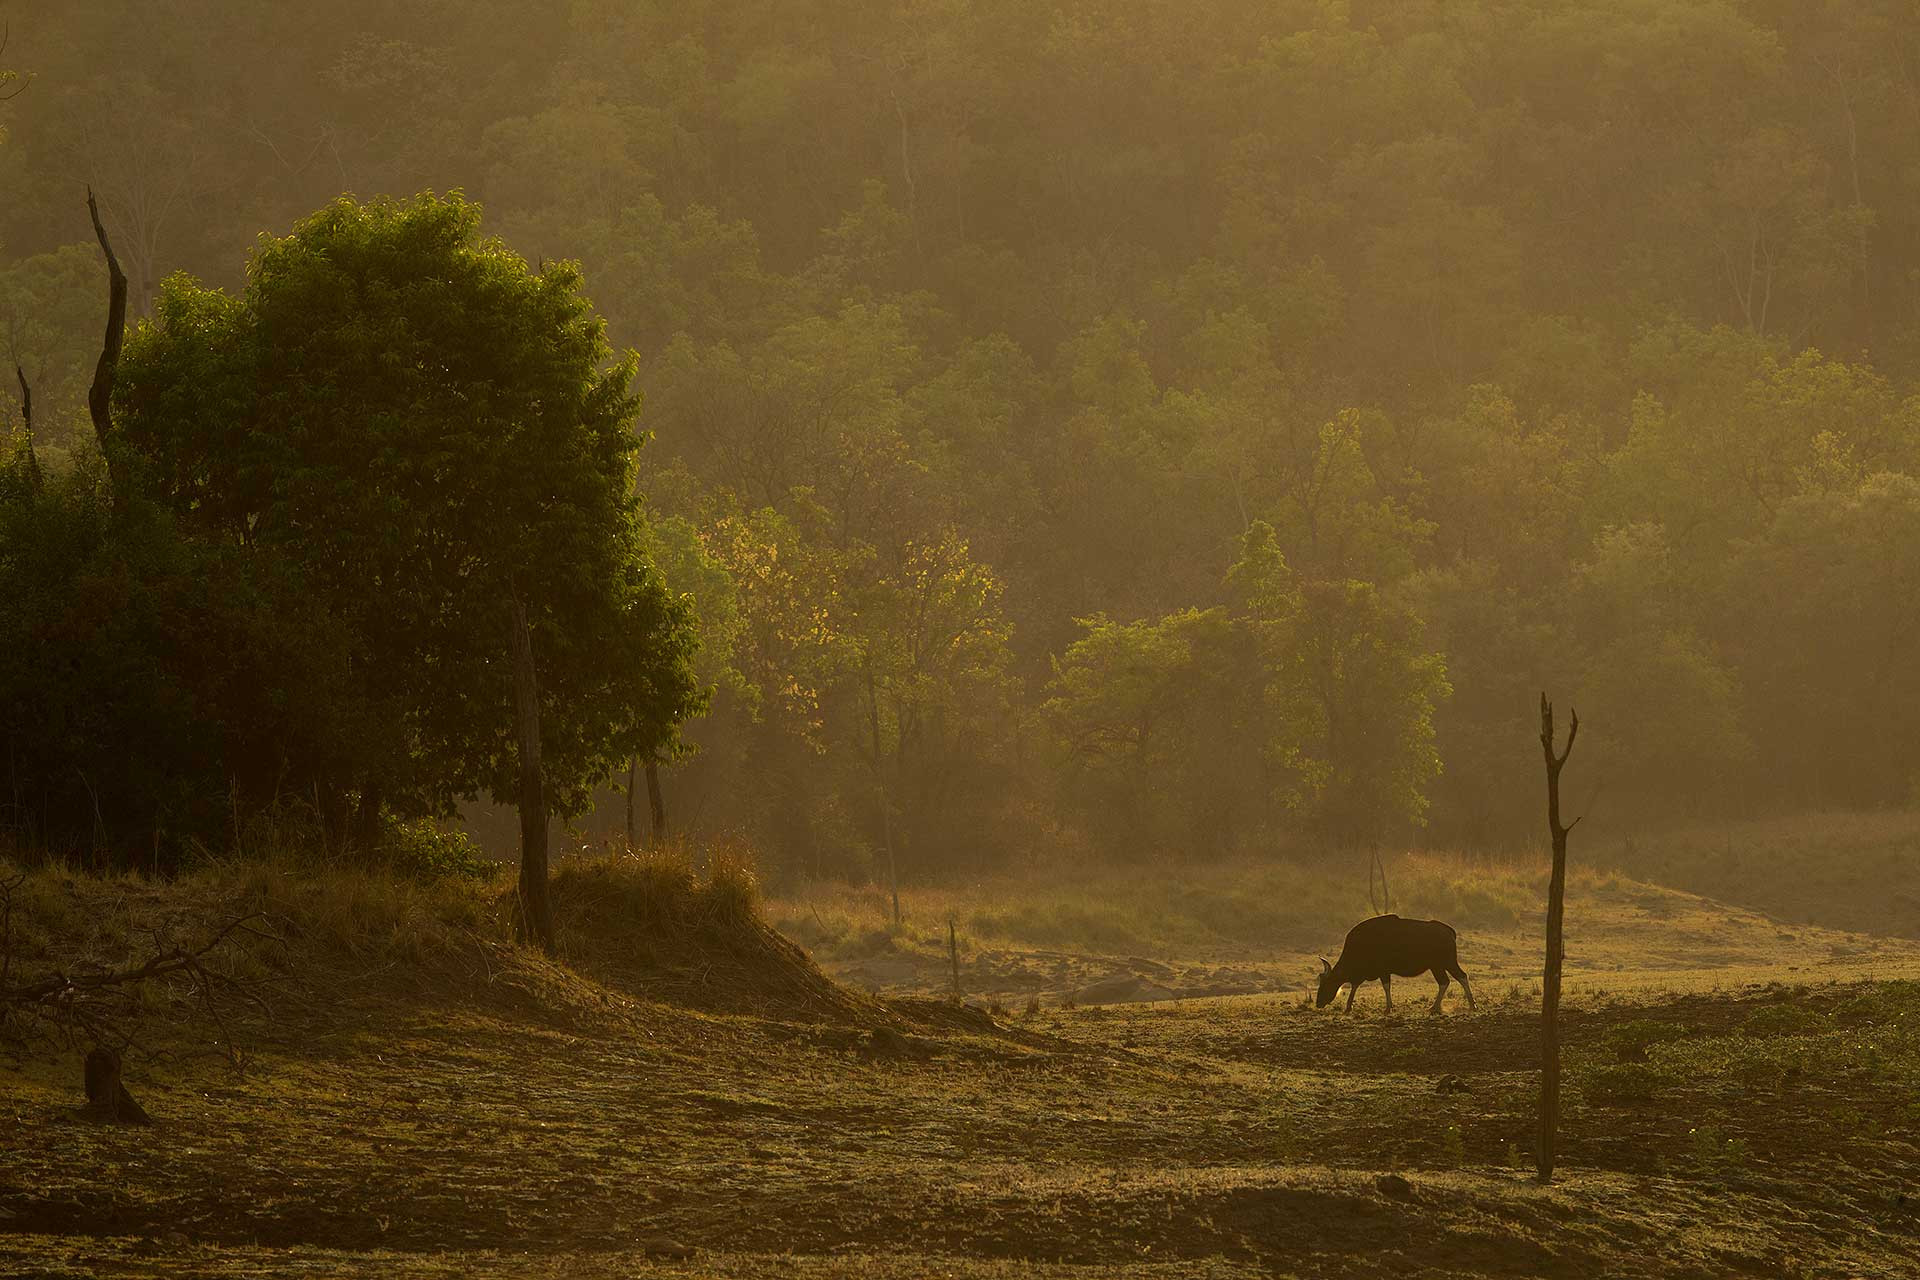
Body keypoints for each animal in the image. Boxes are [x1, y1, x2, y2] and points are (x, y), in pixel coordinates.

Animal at [1316, 914, 1474, 1014]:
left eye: (1325, 985)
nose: (1318, 1003)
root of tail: (1449, 931)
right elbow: (1355, 985)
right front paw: (1348, 1007)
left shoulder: (1383, 971)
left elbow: (1385, 986)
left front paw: (1388, 1008)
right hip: (1437, 966)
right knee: (1445, 981)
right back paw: (1436, 1007)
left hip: (1447, 962)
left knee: (1460, 977)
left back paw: (1471, 1004)